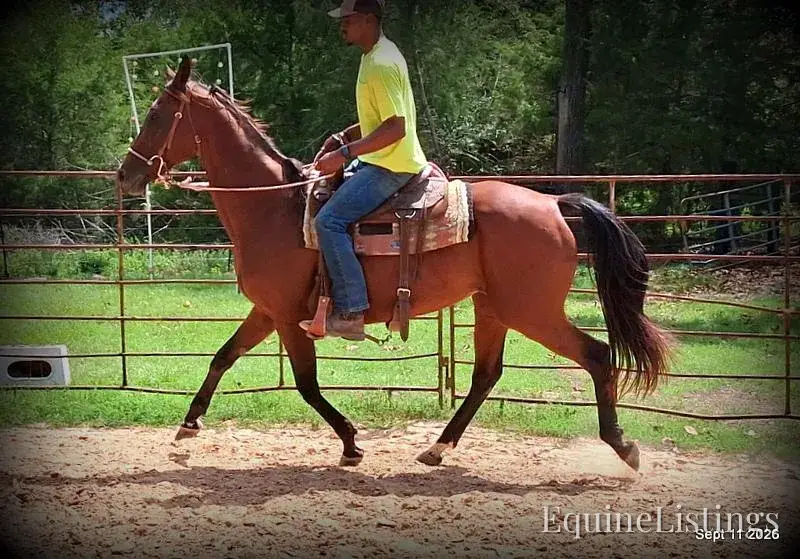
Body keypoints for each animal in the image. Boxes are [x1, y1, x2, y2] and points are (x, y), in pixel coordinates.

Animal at [115, 57, 672, 471]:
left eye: (158, 115)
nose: (124, 175)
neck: (273, 208)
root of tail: (554, 204)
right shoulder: (268, 311)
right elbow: (223, 357)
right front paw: (188, 425)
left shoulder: (289, 318)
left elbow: (306, 384)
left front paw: (350, 442)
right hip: (493, 307)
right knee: (485, 375)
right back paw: (437, 448)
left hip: (531, 310)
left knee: (596, 355)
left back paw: (623, 446)